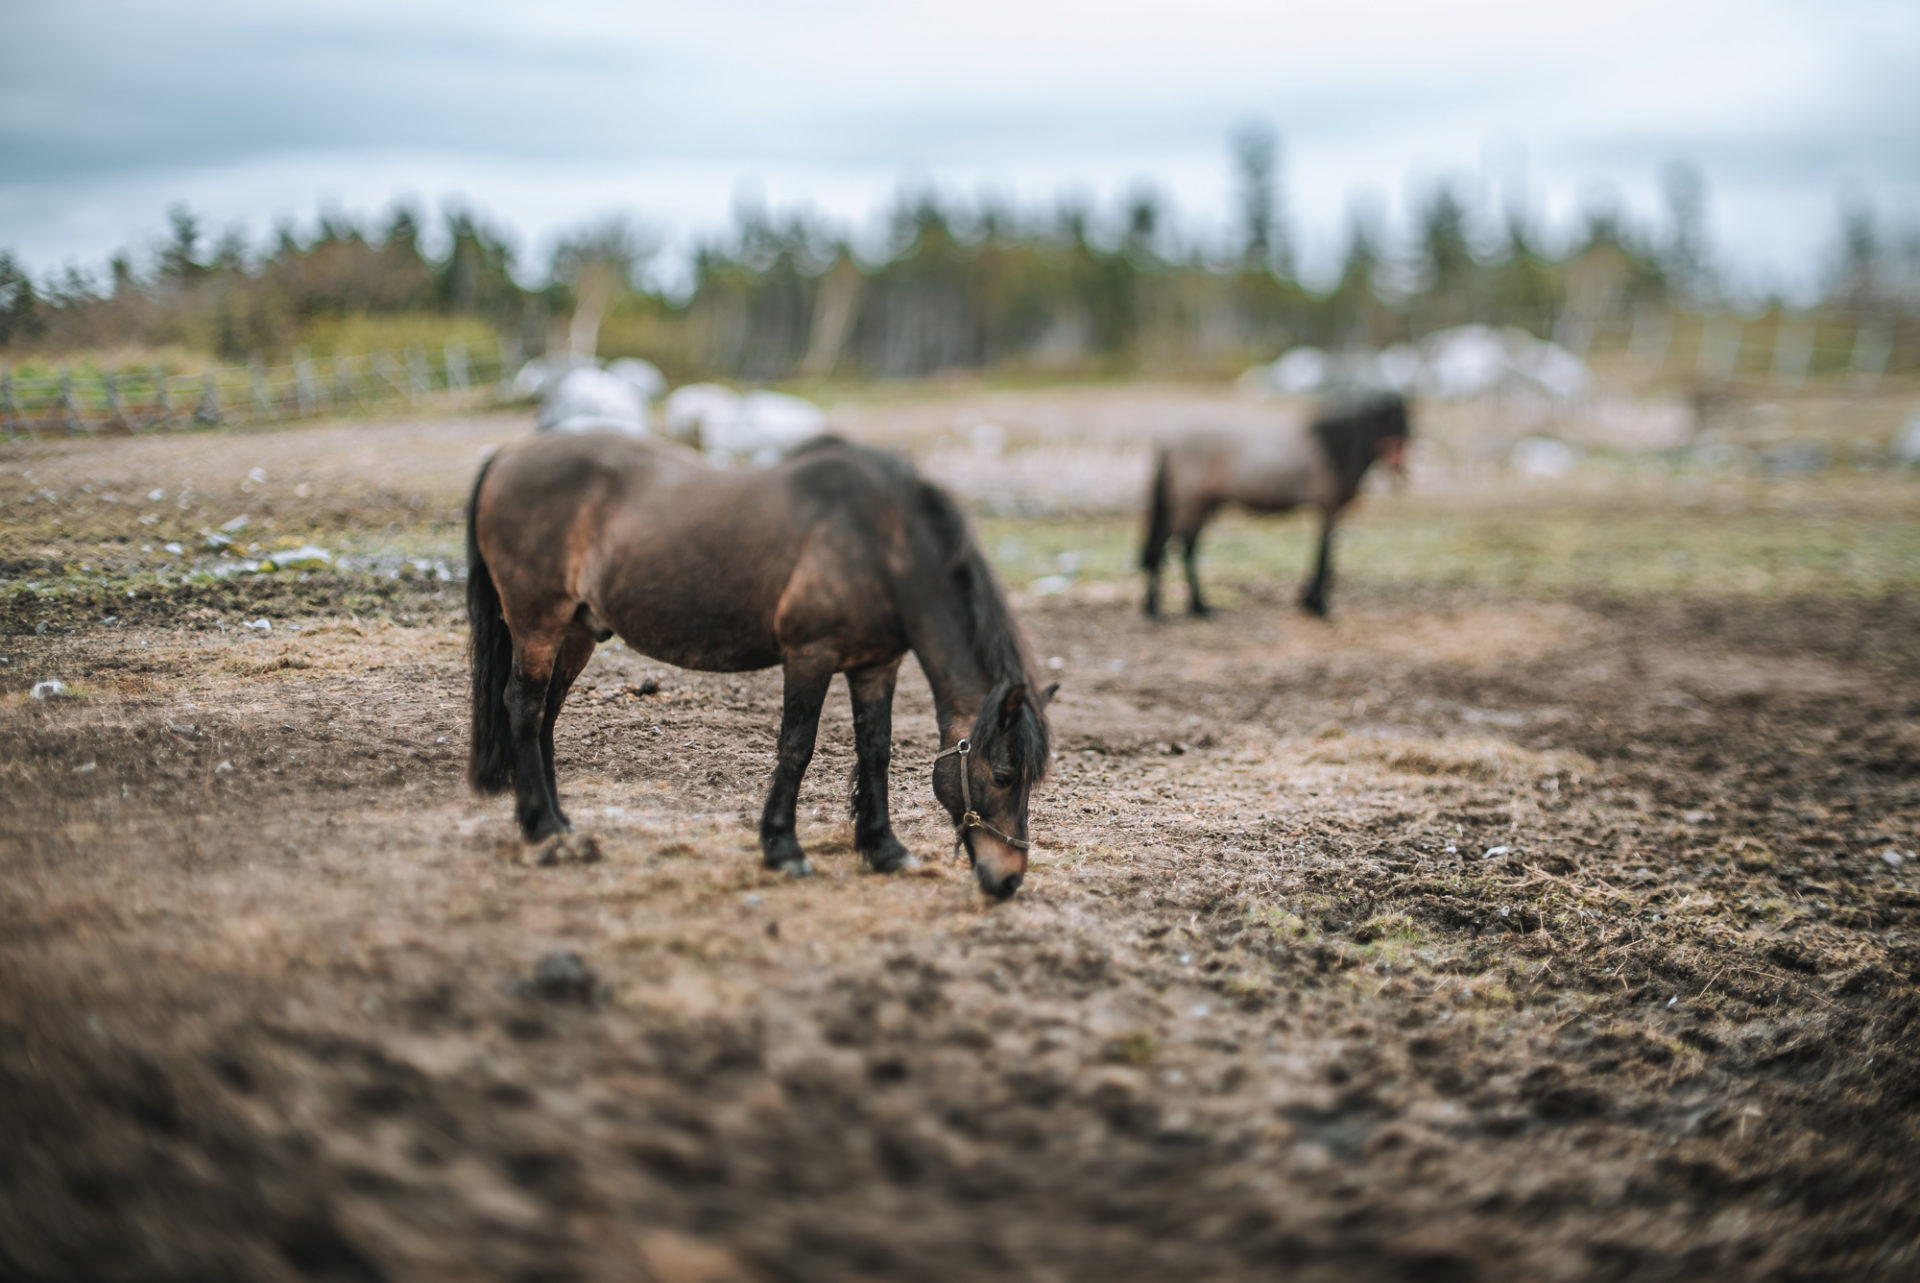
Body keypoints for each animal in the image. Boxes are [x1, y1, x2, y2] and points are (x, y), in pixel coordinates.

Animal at [470, 430, 1059, 902]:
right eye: (1004, 775)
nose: (1008, 879)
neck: (879, 546)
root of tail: (508, 455)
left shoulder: (876, 665)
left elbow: (876, 751)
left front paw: (884, 848)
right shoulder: (809, 656)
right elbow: (797, 746)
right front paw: (783, 848)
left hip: (576, 631)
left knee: (545, 716)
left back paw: (559, 823)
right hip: (538, 625)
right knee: (523, 708)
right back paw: (542, 828)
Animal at [1136, 393, 1413, 618]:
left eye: (1408, 424)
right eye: (1393, 422)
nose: (1400, 466)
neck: (1333, 447)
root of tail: (1170, 442)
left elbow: (1321, 551)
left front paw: (1308, 600)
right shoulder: (1328, 506)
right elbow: (1325, 552)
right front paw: (1318, 604)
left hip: (1204, 504)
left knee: (1185, 546)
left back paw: (1196, 607)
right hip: (1189, 504)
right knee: (1168, 546)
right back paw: (1158, 608)